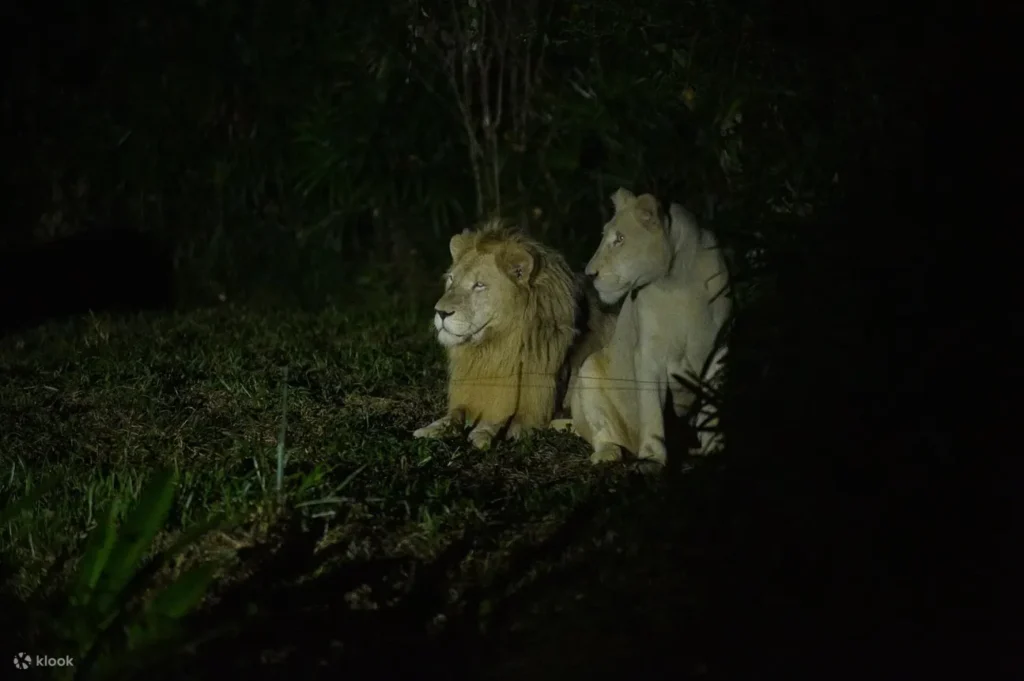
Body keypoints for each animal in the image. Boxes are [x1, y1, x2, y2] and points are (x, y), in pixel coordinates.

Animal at [411, 220, 581, 448]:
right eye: (452, 279)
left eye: (479, 285)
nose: (440, 312)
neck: (491, 349)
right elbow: (454, 414)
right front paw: (432, 428)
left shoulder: (535, 408)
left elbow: (500, 418)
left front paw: (483, 433)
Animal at [573, 188, 733, 464]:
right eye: (606, 237)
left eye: (620, 239)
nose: (589, 273)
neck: (679, 282)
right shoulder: (648, 353)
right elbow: (651, 410)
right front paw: (652, 458)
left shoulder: (719, 350)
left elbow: (711, 408)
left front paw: (714, 448)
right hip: (589, 371)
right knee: (602, 432)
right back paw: (608, 453)